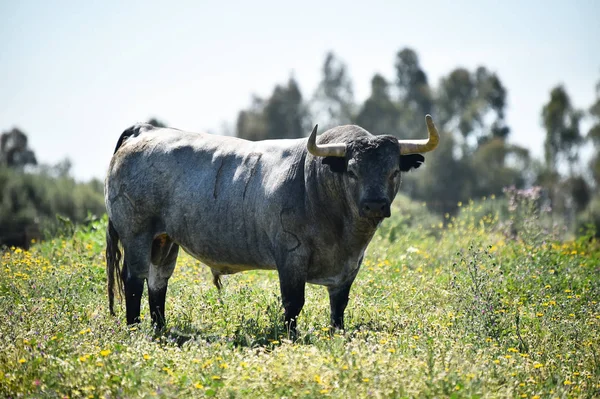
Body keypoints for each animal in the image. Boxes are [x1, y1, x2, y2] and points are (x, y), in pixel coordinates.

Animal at [105, 115, 438, 334]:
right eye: (352, 171)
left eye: (394, 171)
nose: (375, 205)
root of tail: (145, 130)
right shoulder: (291, 256)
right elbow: (293, 303)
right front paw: (291, 338)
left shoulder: (349, 266)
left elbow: (339, 306)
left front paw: (337, 335)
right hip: (136, 234)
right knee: (134, 281)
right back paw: (135, 330)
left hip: (164, 240)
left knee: (157, 282)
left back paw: (160, 330)